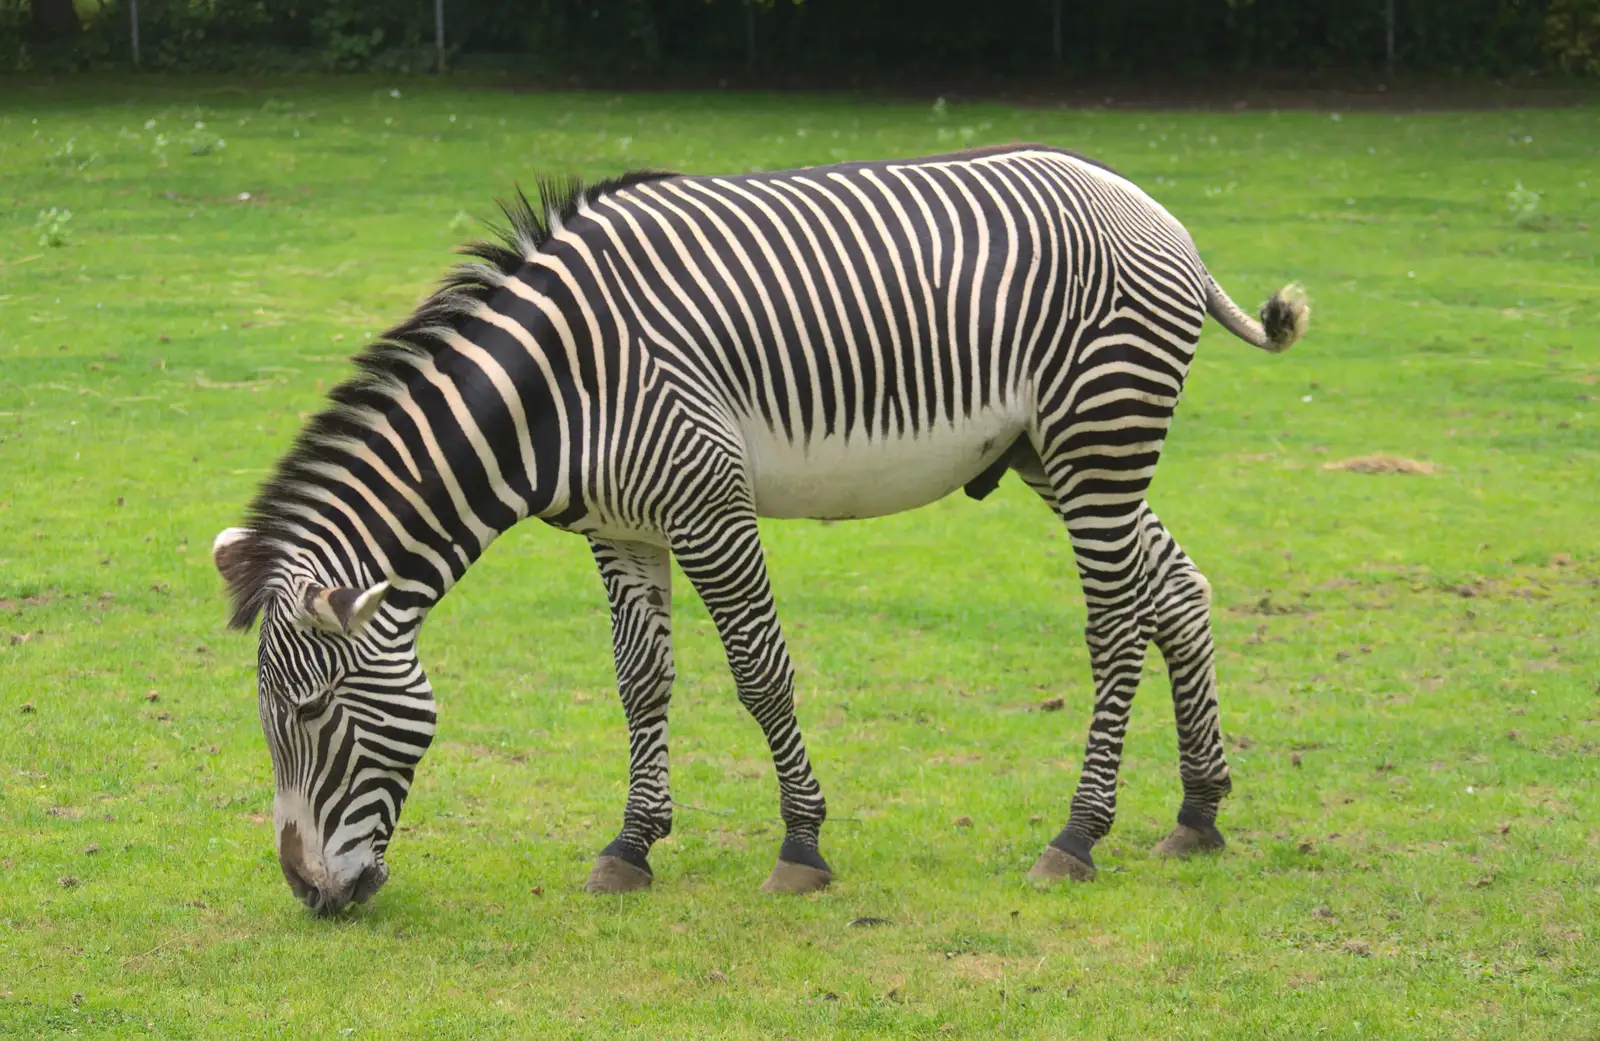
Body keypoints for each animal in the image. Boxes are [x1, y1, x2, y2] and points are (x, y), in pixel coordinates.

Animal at [216, 144, 1312, 914]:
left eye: (311, 714)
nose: (311, 896)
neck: (554, 388)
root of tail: (1147, 205)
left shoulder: (709, 504)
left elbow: (758, 671)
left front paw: (801, 845)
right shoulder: (621, 530)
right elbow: (641, 681)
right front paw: (630, 846)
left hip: (1099, 436)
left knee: (1117, 625)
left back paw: (1078, 834)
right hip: (1058, 453)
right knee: (1177, 591)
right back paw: (1198, 813)